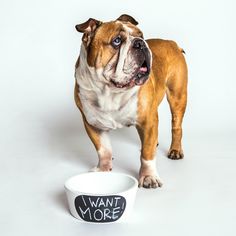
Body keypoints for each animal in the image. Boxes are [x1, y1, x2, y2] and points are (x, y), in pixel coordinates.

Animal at [74, 14, 188, 188]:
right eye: (117, 41)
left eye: (141, 35)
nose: (140, 43)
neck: (109, 90)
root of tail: (172, 43)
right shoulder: (92, 123)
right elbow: (103, 149)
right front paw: (103, 169)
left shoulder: (148, 121)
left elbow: (147, 155)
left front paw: (148, 177)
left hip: (178, 97)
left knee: (176, 127)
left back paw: (175, 150)